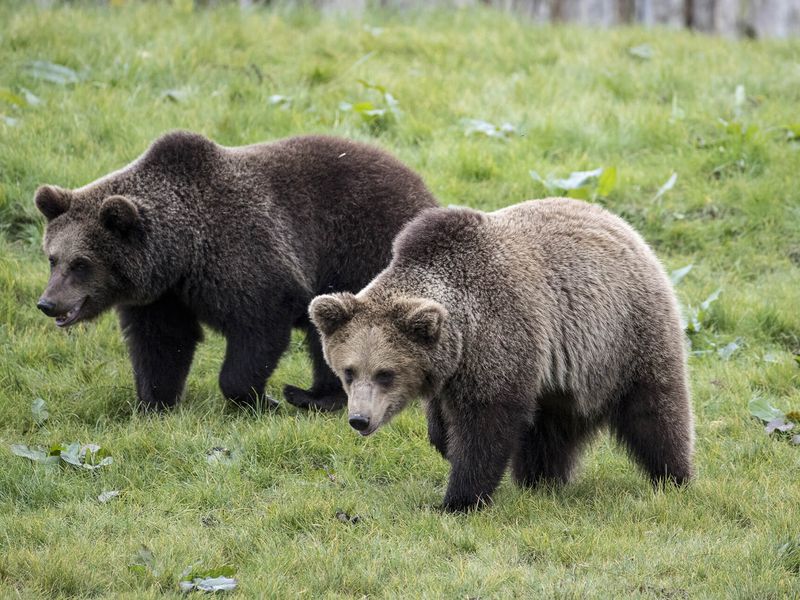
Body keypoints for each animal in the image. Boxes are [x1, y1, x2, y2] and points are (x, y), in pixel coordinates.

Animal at [34, 131, 438, 412]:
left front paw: (258, 398)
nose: (48, 303)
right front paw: (153, 401)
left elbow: (257, 326)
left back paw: (313, 397)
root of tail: (421, 187)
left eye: (81, 264)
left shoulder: (243, 258)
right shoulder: (162, 296)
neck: (180, 254)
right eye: (53, 258)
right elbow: (161, 341)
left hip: (361, 251)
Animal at [310, 197, 696, 510]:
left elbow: (486, 426)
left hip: (624, 335)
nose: (359, 419)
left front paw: (458, 500)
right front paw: (444, 441)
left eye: (385, 374)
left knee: (655, 411)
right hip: (561, 378)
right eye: (348, 371)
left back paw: (673, 476)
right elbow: (444, 418)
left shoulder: (500, 340)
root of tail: (621, 224)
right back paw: (541, 480)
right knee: (550, 431)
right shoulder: (453, 365)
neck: (464, 329)